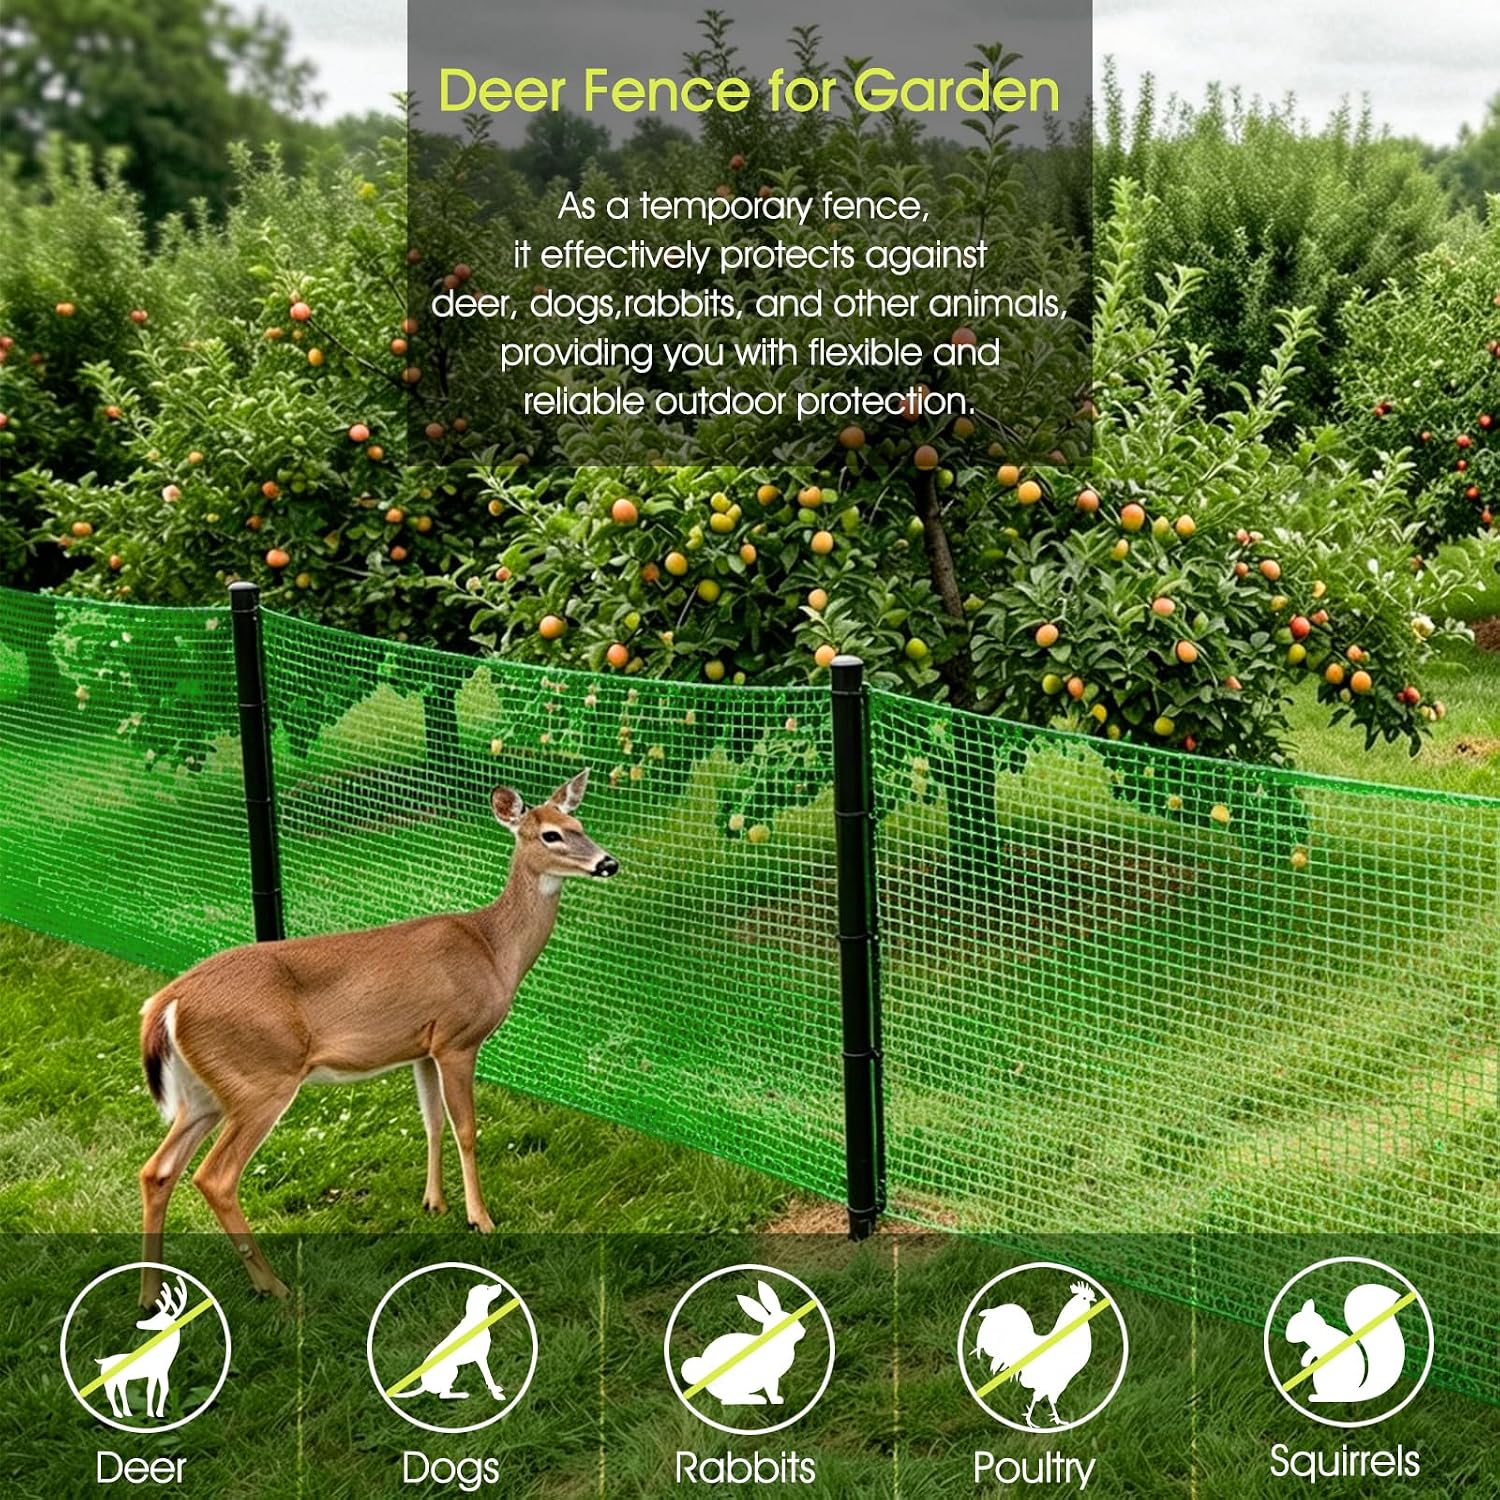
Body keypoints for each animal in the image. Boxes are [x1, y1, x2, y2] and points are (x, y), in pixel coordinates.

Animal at [98, 1277, 188, 1419]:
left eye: (158, 1319)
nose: (140, 1323)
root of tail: (103, 1361)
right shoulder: (153, 1373)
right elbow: (150, 1391)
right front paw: (151, 1413)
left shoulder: (161, 1373)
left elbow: (163, 1389)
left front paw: (159, 1412)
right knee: (110, 1394)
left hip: (121, 1380)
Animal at [136, 770, 617, 1306]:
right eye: (550, 834)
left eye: (580, 824)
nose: (608, 863)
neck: (494, 949)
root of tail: (168, 1001)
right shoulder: (457, 1039)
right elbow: (466, 1129)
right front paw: (480, 1219)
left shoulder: (422, 1046)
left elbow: (432, 1122)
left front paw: (434, 1204)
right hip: (260, 1080)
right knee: (215, 1177)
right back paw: (272, 1284)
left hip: (206, 1092)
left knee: (157, 1171)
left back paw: (150, 1292)